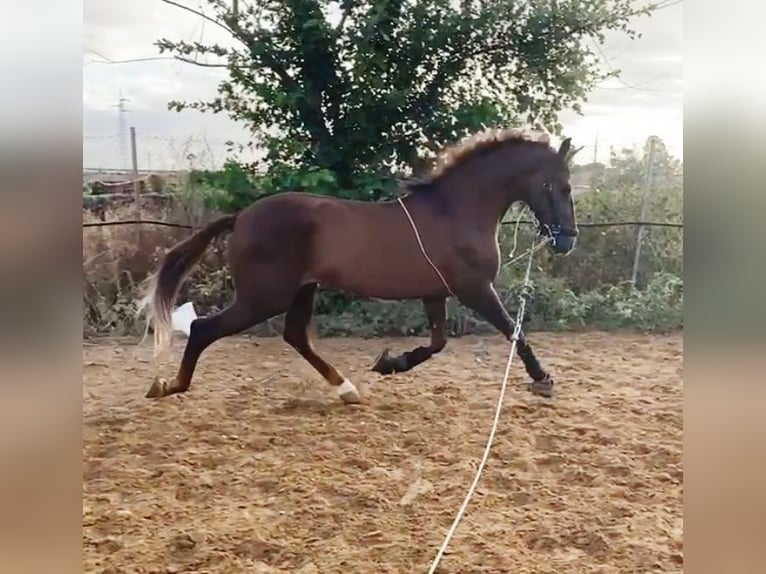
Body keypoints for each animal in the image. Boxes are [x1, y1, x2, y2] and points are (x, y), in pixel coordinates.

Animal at [140, 128, 584, 404]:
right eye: (561, 186)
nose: (566, 240)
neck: (455, 212)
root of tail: (242, 217)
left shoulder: (435, 292)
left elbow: (438, 343)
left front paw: (390, 364)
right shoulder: (474, 290)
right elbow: (514, 331)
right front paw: (543, 380)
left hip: (302, 290)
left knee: (295, 336)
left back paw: (347, 390)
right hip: (264, 297)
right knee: (204, 328)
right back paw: (169, 386)